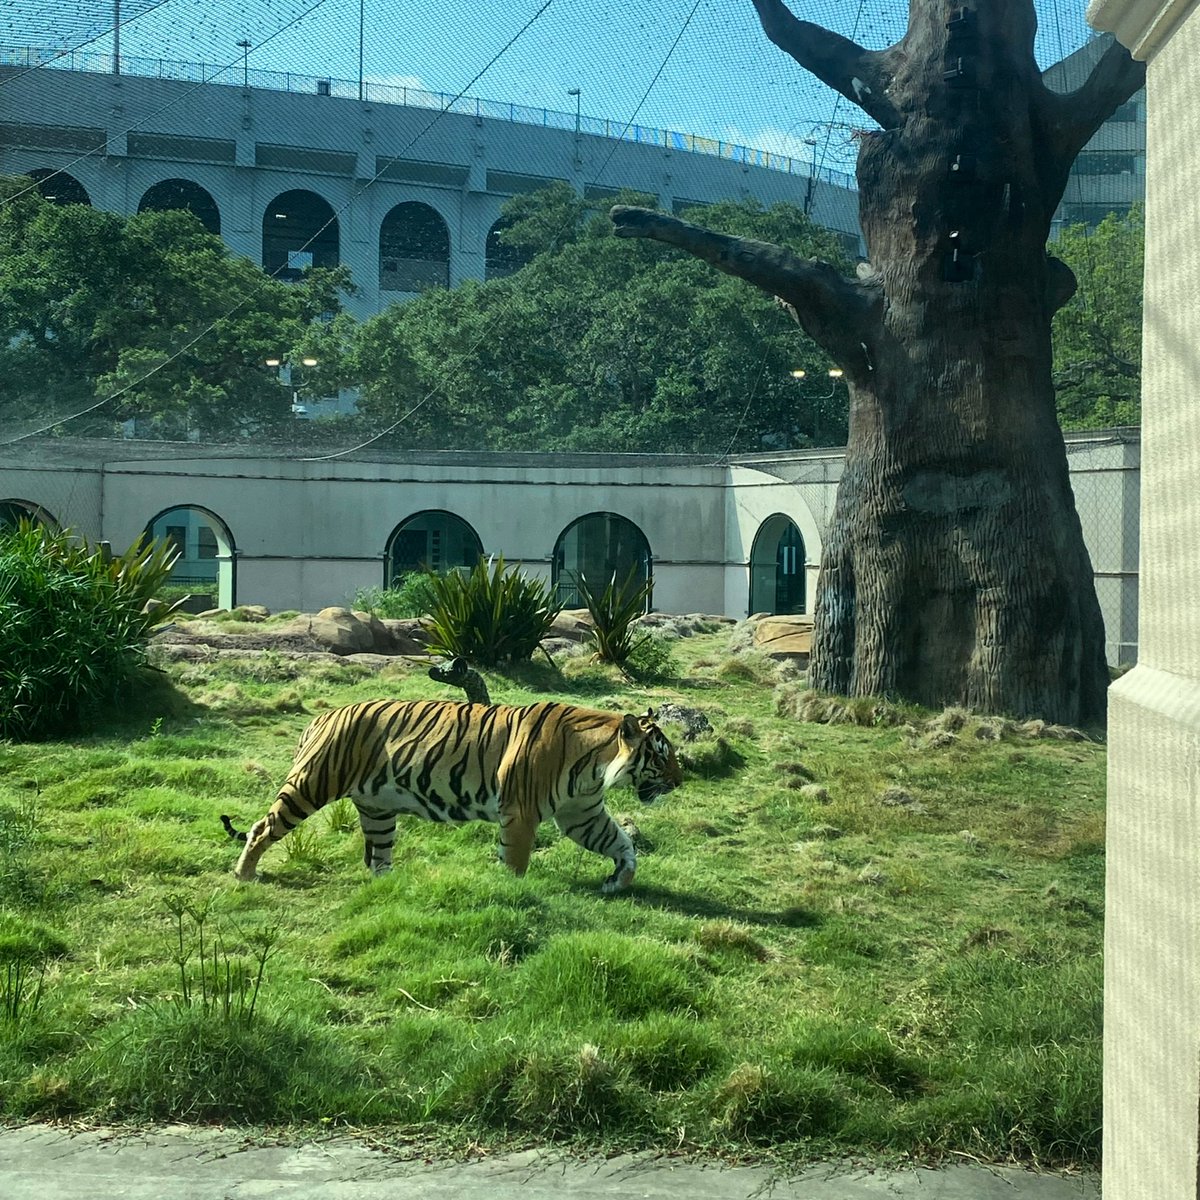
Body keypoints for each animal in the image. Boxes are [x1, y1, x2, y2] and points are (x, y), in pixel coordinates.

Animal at [220, 696, 681, 892]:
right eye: (662, 757)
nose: (679, 781)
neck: (595, 766)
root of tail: (322, 717)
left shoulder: (581, 813)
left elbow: (620, 843)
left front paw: (618, 881)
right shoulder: (521, 811)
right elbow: (515, 859)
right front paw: (511, 890)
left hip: (378, 809)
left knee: (379, 857)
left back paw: (394, 887)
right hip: (312, 783)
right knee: (262, 827)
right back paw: (244, 875)